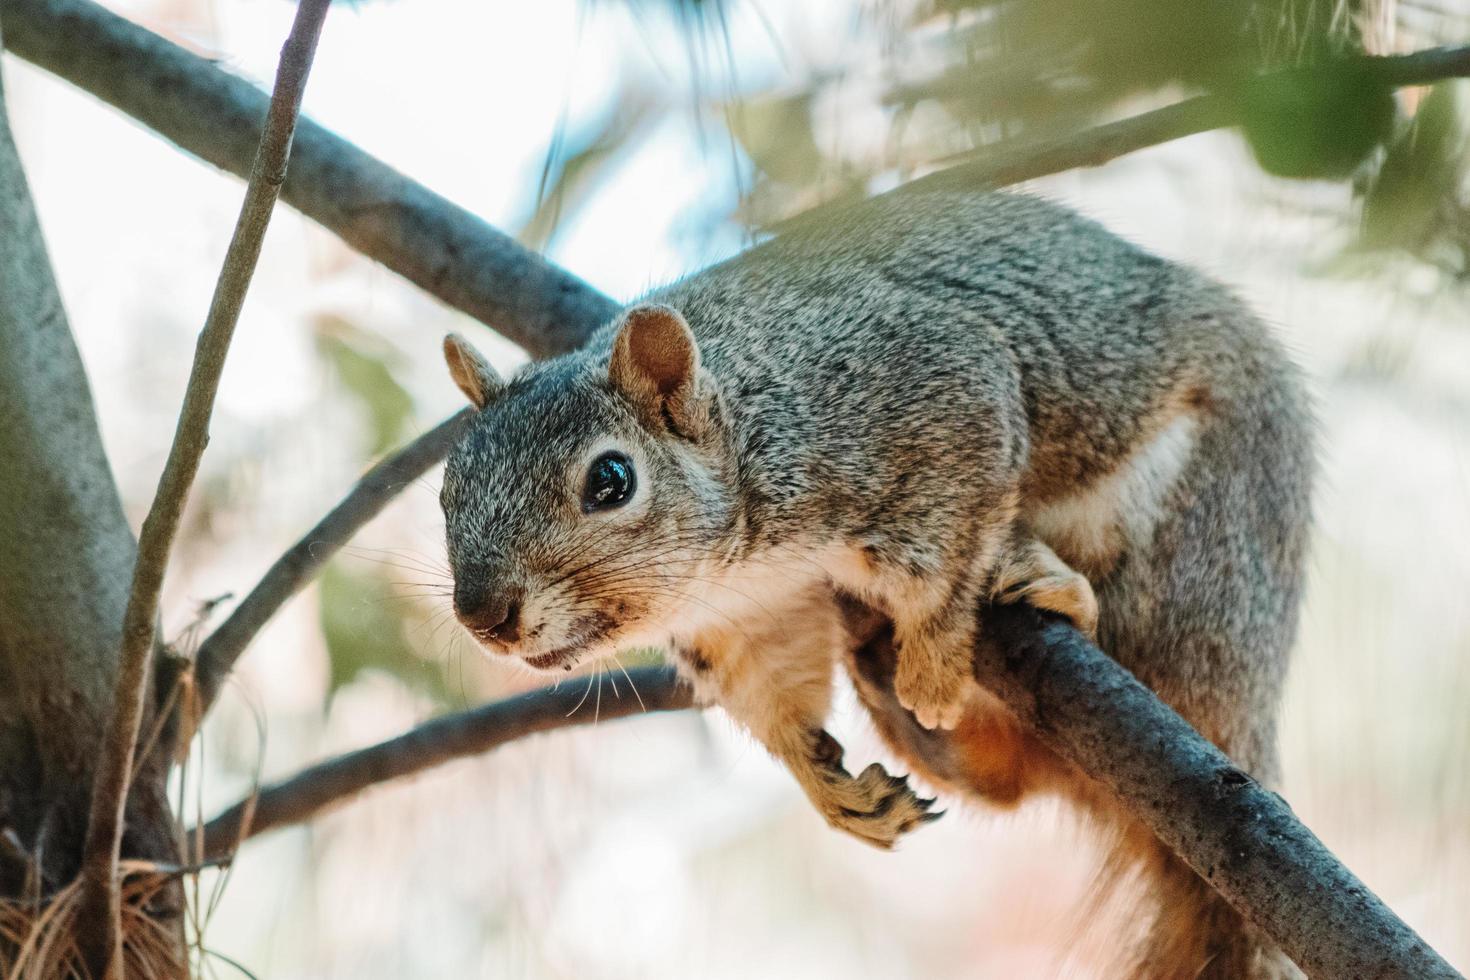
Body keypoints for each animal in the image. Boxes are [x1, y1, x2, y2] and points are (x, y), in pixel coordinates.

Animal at [432, 188, 1311, 975]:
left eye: (611, 481)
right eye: (447, 490)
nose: (484, 614)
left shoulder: (928, 392)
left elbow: (950, 546)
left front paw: (934, 657)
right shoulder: (752, 615)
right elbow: (776, 687)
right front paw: (824, 783)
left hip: (1201, 549)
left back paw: (1037, 596)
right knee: (1005, 780)